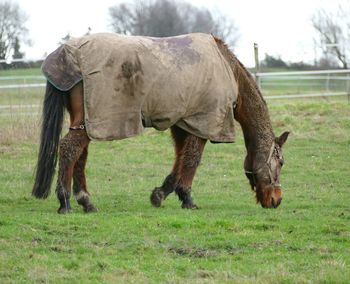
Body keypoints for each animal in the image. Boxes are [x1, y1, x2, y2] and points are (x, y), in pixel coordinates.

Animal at [31, 33, 290, 213]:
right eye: (280, 162)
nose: (276, 200)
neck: (228, 69)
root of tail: (67, 54)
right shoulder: (202, 124)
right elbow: (192, 160)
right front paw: (187, 199)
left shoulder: (182, 124)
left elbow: (180, 159)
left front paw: (160, 194)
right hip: (92, 122)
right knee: (69, 150)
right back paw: (65, 201)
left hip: (87, 124)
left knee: (79, 155)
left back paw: (86, 201)